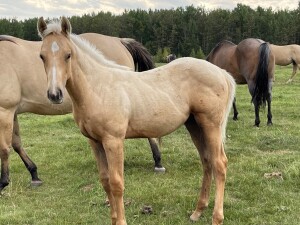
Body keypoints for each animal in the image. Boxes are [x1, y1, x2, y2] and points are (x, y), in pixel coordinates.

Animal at [0, 31, 165, 192]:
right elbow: (16, 144)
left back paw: (158, 162)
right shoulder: (12, 112)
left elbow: (4, 147)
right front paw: (34, 174)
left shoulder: (5, 111)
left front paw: (3, 182)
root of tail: (119, 41)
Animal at [37, 16, 234, 225]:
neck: (98, 87)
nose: (55, 95)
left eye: (68, 55)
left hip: (211, 125)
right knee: (207, 161)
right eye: (42, 56)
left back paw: (217, 217)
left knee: (219, 163)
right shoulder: (95, 142)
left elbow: (116, 183)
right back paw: (197, 211)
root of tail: (221, 73)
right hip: (194, 125)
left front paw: (121, 221)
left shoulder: (113, 141)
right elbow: (105, 180)